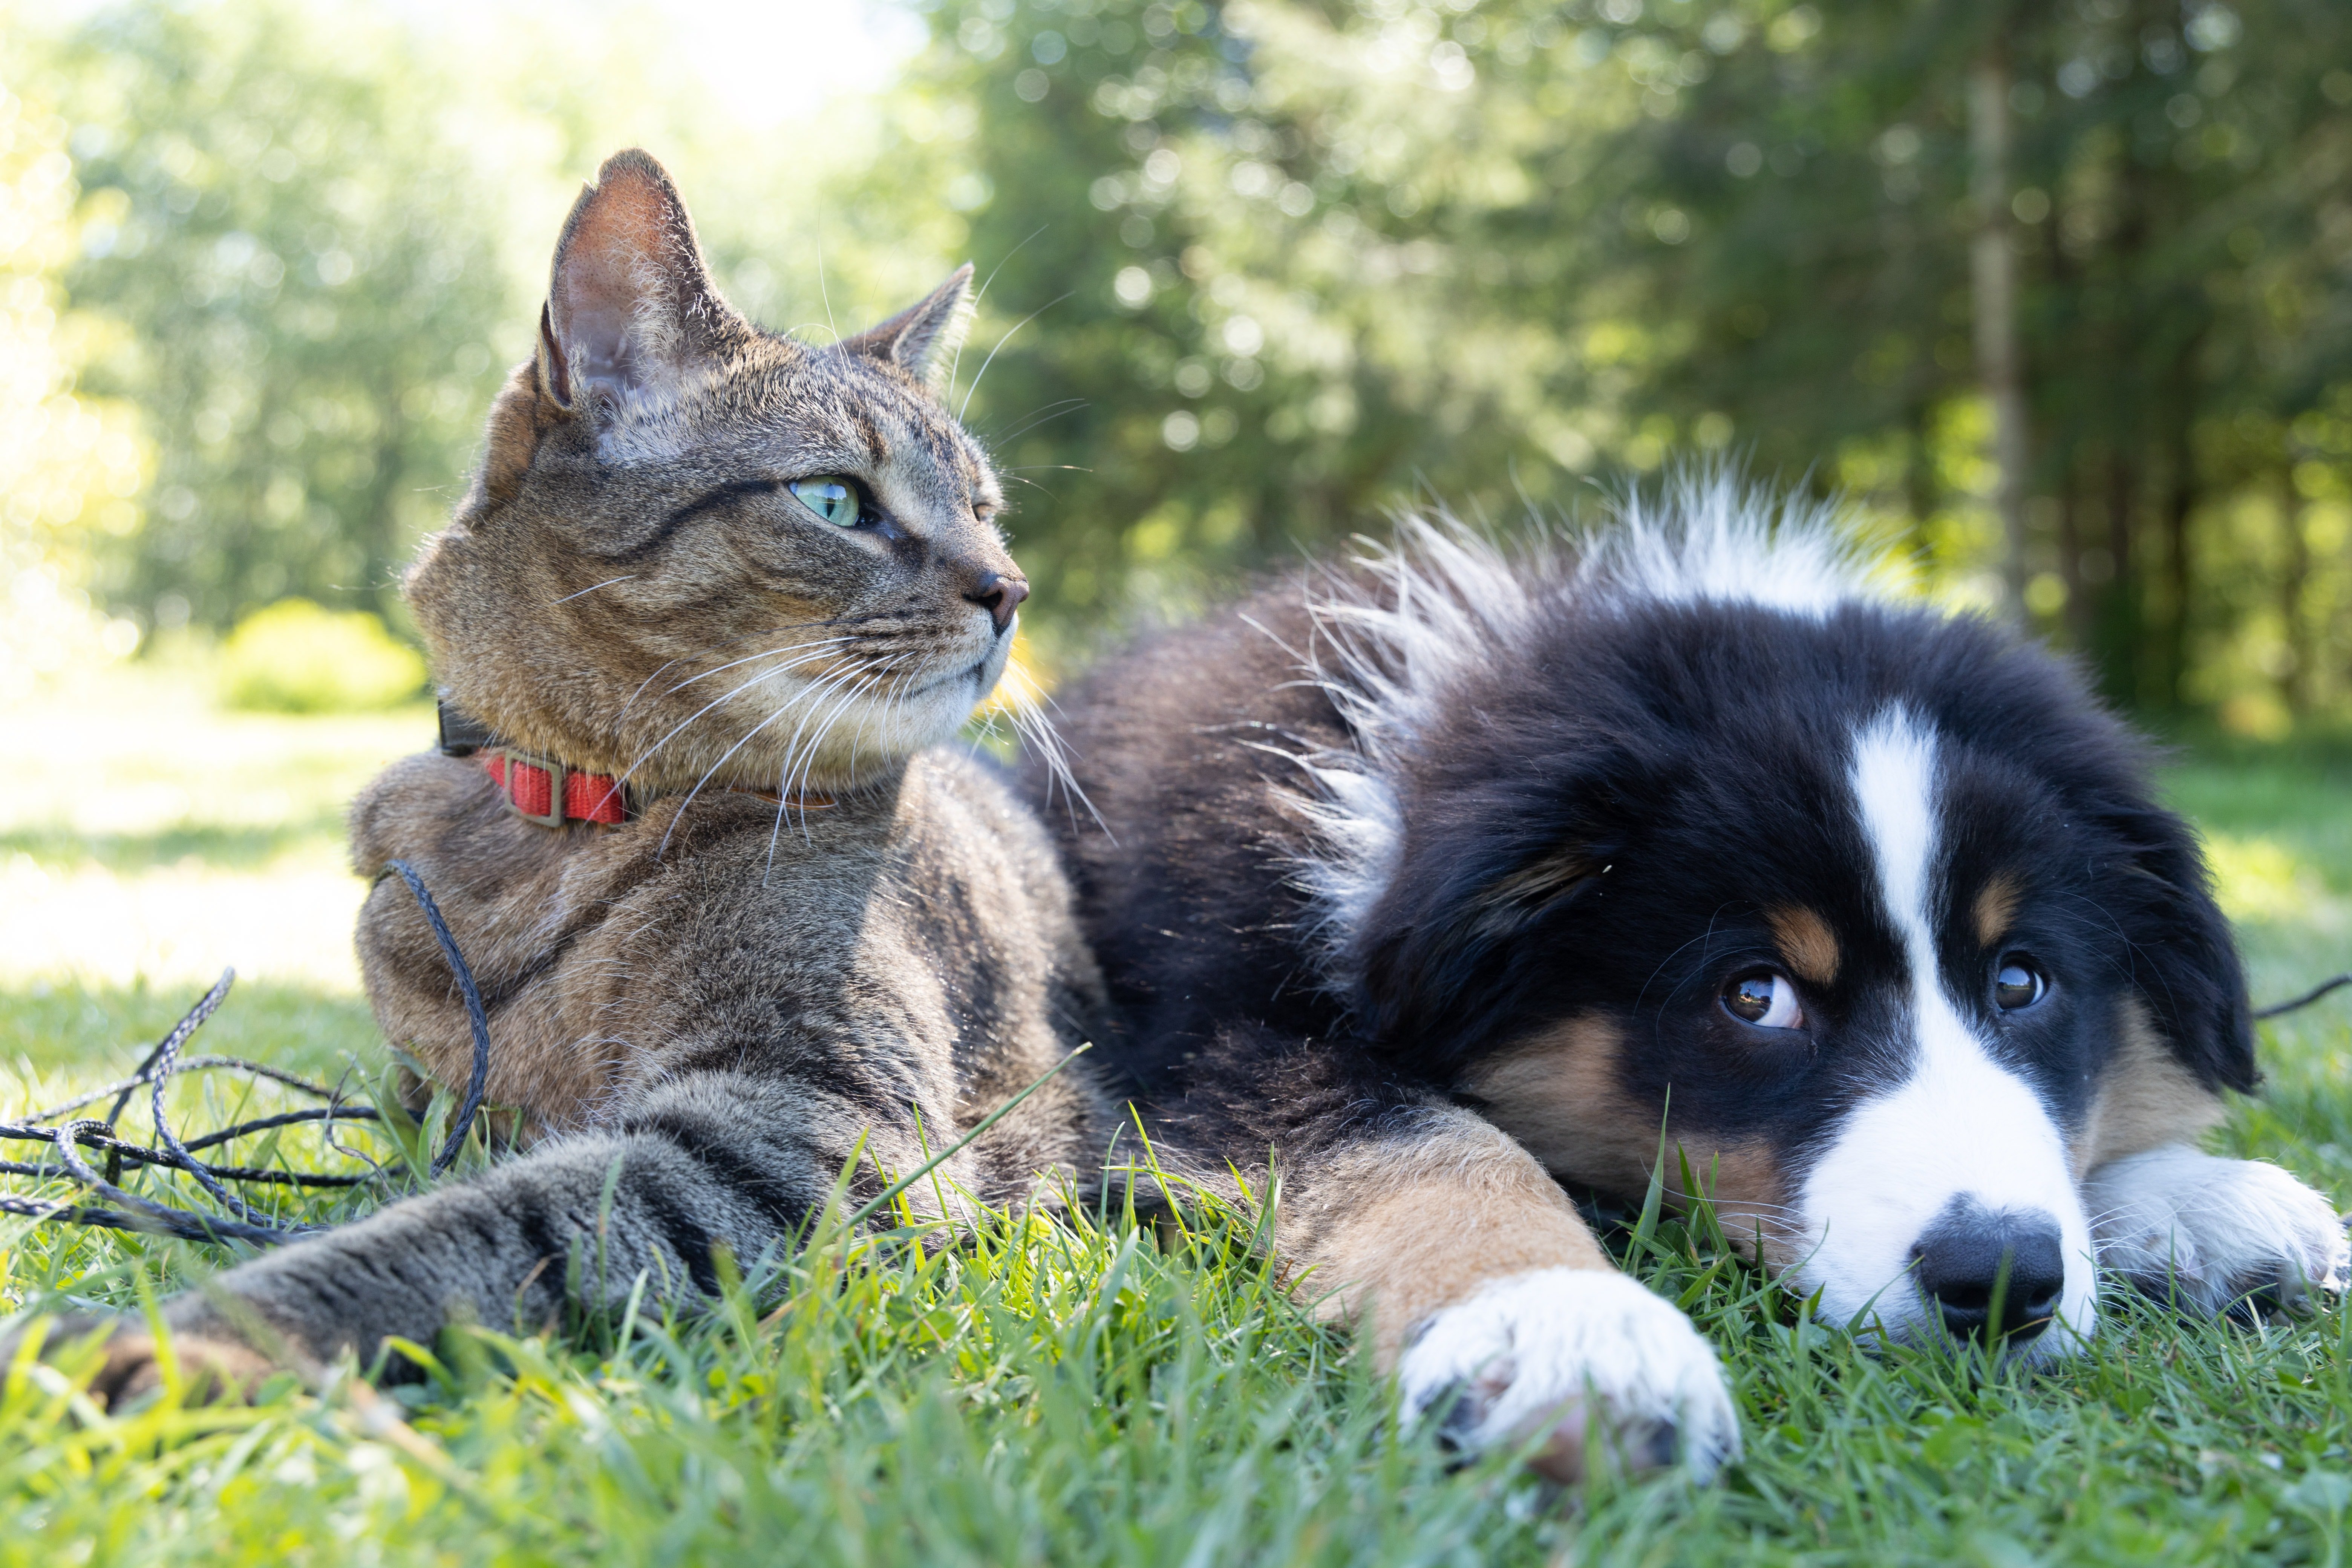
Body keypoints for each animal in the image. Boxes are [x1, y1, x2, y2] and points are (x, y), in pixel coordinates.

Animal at [46, 150, 1110, 1401]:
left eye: (987, 511)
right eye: (835, 499)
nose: (1011, 588)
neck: (562, 823)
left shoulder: (804, 1125)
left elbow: (470, 1229)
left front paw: (193, 1337)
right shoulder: (430, 1100)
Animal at [1049, 484, 2352, 1495]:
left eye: (2022, 979)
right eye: (1755, 995)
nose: (1997, 1282)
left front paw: (2193, 1201)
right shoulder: (1216, 1034)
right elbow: (1433, 1143)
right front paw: (1568, 1332)